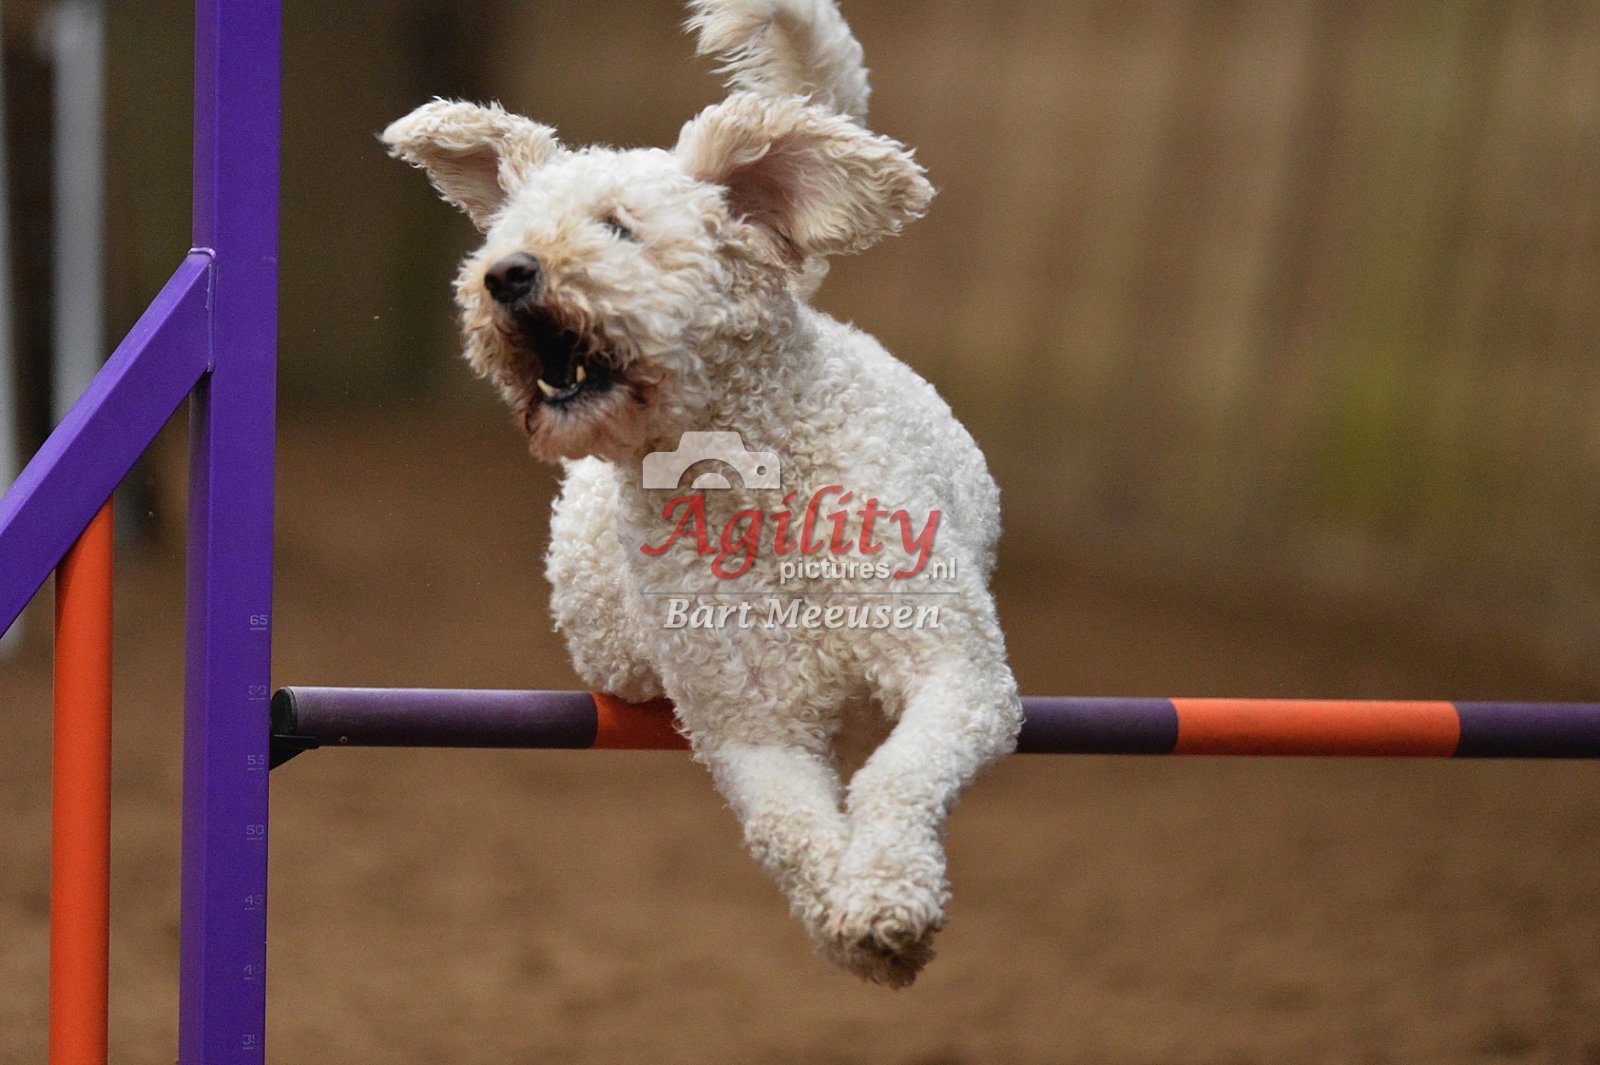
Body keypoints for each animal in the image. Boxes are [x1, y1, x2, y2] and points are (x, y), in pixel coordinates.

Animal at [384, 0, 1021, 987]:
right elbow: (786, 826)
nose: (506, 273)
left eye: (618, 228)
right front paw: (852, 922)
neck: (749, 496)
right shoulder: (750, 724)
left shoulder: (958, 669)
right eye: (499, 233)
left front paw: (885, 898)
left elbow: (898, 771)